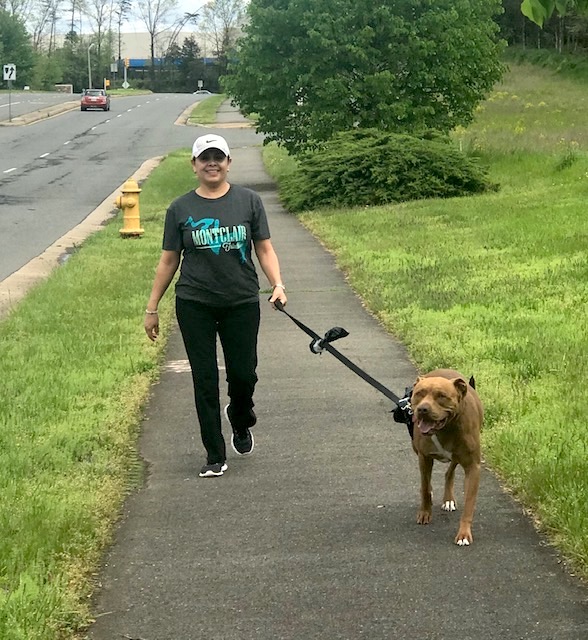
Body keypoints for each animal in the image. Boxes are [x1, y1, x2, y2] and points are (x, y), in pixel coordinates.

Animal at [412, 370, 484, 544]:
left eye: (441, 396)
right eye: (419, 393)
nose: (423, 409)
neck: (445, 429)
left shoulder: (473, 467)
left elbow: (469, 504)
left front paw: (464, 534)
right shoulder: (424, 457)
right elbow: (425, 486)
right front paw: (425, 512)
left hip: (458, 457)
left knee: (449, 472)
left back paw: (448, 499)